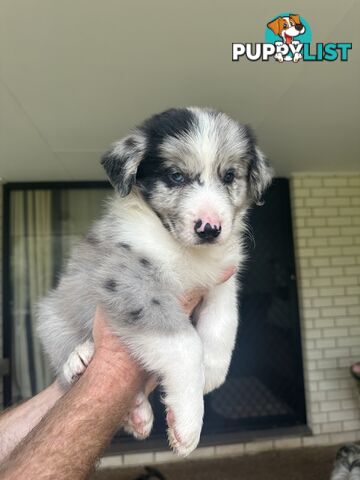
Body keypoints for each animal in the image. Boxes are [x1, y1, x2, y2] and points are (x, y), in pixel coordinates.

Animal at [37, 107, 272, 456]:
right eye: (175, 176)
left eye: (229, 176)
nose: (209, 228)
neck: (184, 250)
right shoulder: (128, 279)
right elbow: (186, 344)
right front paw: (188, 423)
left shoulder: (221, 278)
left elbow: (224, 321)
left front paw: (212, 371)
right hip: (52, 309)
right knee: (60, 343)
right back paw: (77, 359)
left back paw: (137, 413)